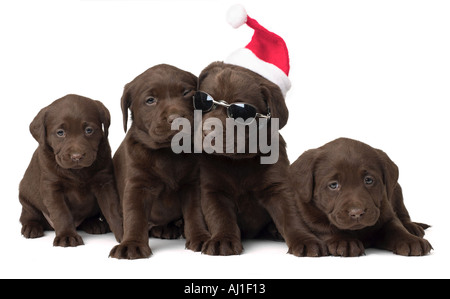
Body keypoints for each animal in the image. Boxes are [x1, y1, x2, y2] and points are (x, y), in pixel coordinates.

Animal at [195, 61, 326, 258]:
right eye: (205, 102)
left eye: (240, 113)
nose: (206, 132)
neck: (238, 161)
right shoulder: (212, 189)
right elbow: (220, 216)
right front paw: (222, 240)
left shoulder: (278, 187)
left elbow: (291, 216)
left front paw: (305, 240)